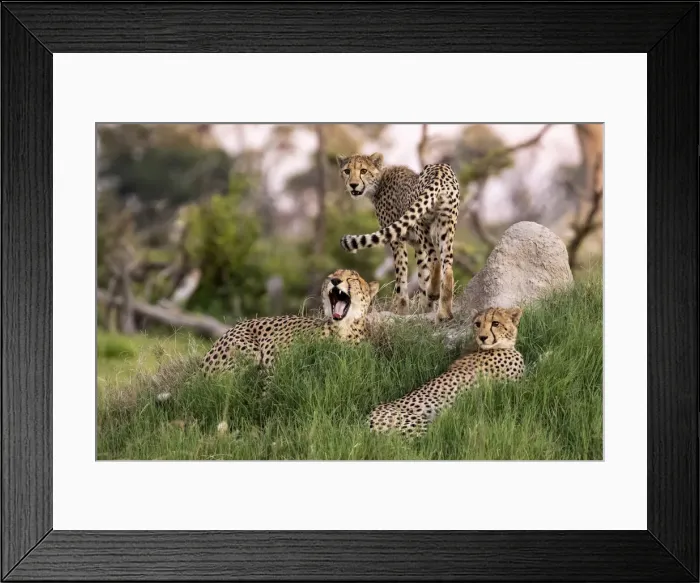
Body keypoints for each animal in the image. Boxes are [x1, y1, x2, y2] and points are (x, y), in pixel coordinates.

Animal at [336, 152, 461, 322]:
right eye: (347, 171)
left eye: (363, 170)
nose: (353, 185)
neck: (378, 183)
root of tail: (440, 170)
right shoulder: (417, 246)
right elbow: (422, 275)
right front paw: (425, 309)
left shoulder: (397, 241)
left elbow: (401, 280)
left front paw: (401, 312)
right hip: (446, 226)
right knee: (447, 267)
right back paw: (444, 313)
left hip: (422, 225)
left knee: (435, 260)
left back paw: (435, 294)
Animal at [369, 306, 526, 438]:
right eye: (478, 324)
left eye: (495, 323)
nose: (482, 337)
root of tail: (368, 418)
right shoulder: (512, 385)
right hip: (418, 423)